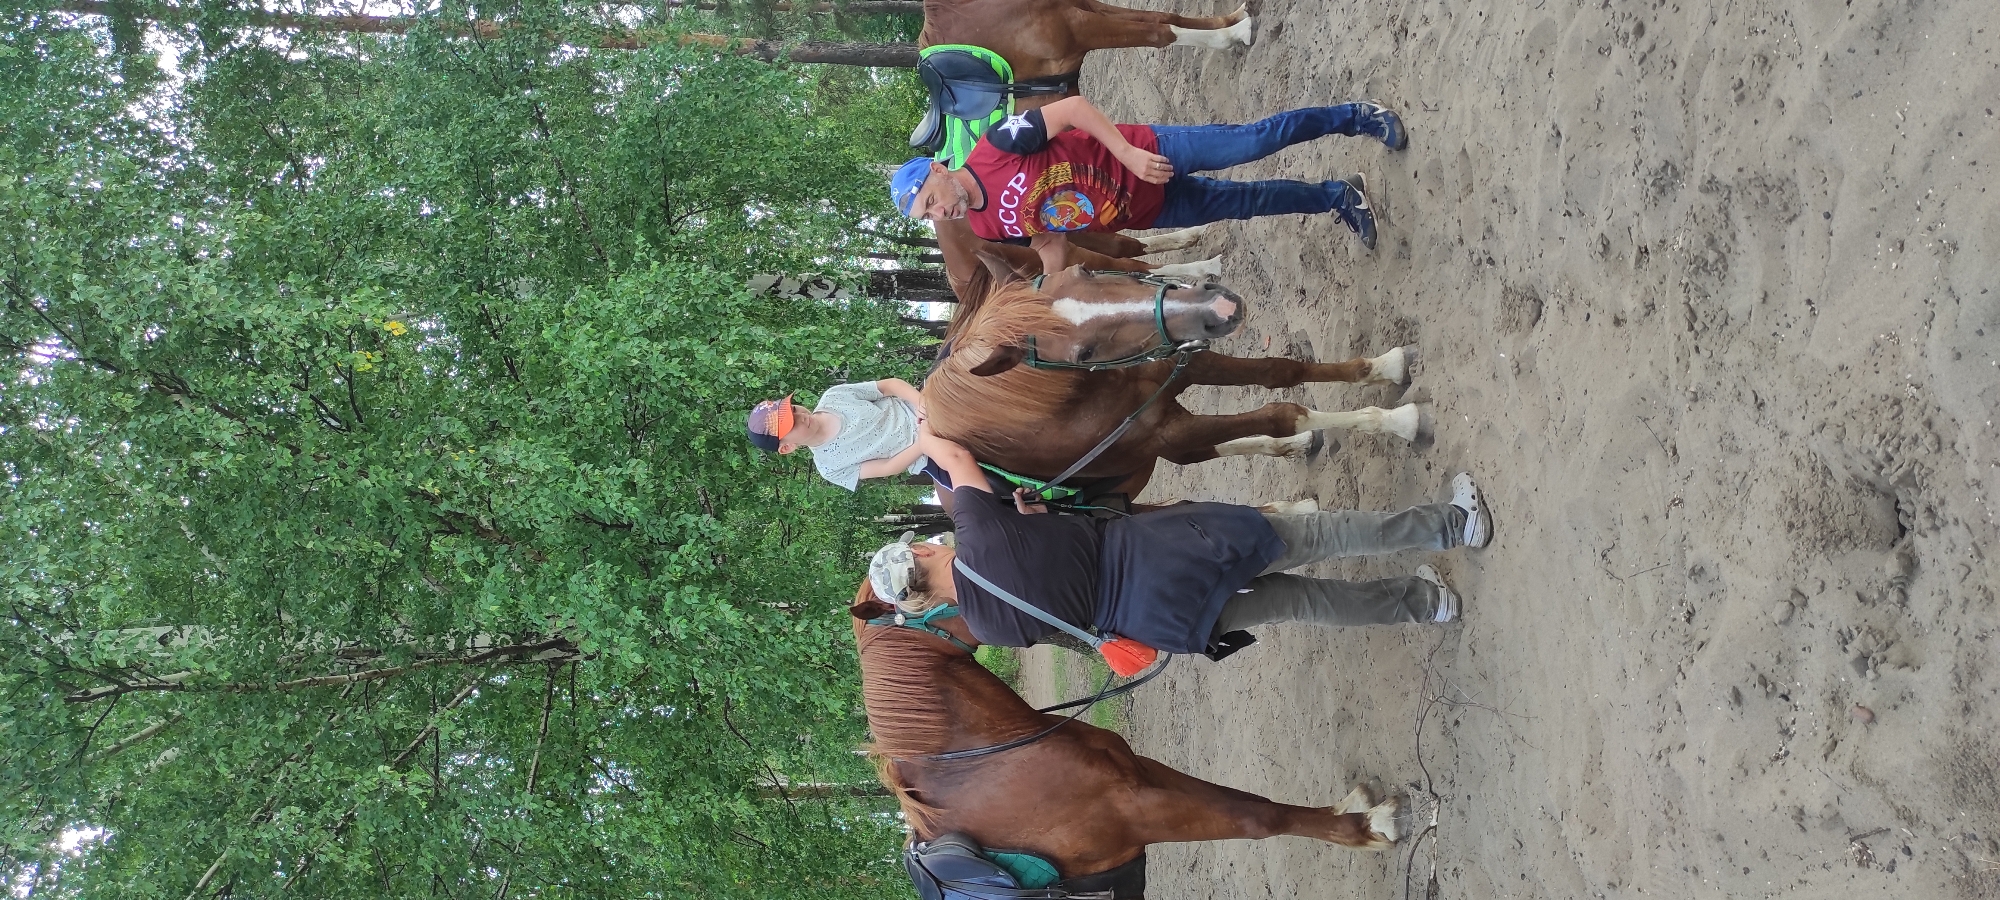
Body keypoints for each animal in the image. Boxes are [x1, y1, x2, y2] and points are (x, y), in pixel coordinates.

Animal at [849, 585, 1404, 888]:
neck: (984, 764)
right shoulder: (1139, 814)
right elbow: (1257, 819)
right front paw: (1368, 827)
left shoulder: (1139, 776)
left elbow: (1251, 802)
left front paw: (1351, 809)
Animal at [920, 258, 1422, 489]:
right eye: (1083, 352)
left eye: (1084, 269)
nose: (1218, 309)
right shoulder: (1165, 431)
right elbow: (1284, 413)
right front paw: (1398, 421)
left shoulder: (1186, 362)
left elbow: (1281, 369)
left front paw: (1385, 367)